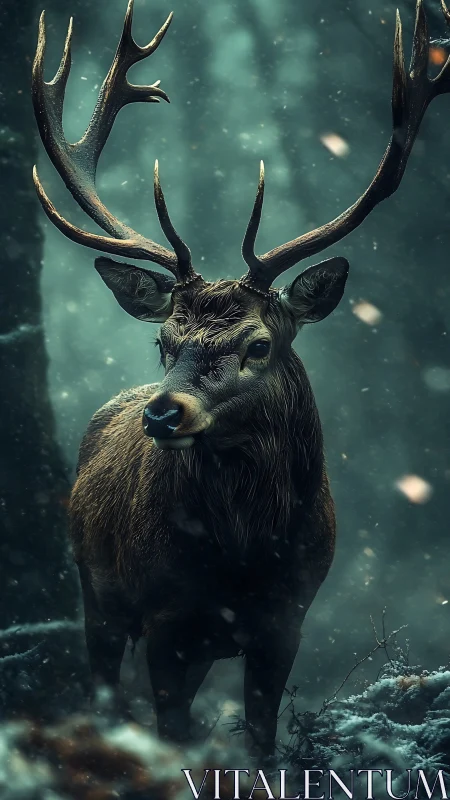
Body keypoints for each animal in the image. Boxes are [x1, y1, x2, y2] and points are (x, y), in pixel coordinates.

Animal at [32, 0, 450, 756]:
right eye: (163, 342)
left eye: (259, 344)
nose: (163, 413)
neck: (243, 559)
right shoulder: (165, 616)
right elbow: (172, 733)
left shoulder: (288, 619)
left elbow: (260, 739)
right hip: (95, 590)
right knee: (104, 685)